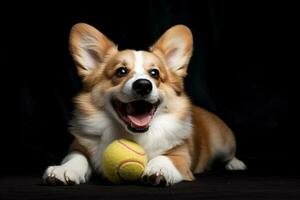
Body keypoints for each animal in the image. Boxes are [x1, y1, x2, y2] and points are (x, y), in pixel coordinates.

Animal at [43, 24, 247, 187]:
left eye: (155, 73)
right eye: (121, 71)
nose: (143, 85)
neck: (132, 134)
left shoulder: (181, 156)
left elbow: (165, 158)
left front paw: (158, 170)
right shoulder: (78, 146)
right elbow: (77, 157)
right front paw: (63, 170)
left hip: (224, 143)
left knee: (229, 155)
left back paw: (235, 164)